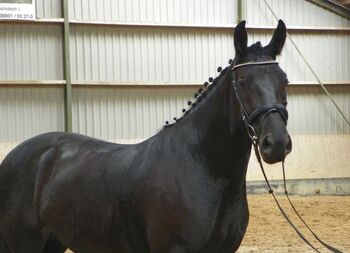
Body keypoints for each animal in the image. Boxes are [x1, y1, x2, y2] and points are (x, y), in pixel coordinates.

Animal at [0, 20, 290, 253]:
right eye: (242, 82)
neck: (202, 168)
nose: (276, 144)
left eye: (285, 80)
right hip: (25, 243)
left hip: (53, 241)